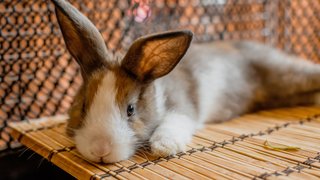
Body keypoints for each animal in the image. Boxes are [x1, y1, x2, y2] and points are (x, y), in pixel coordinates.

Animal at [51, 0, 320, 163]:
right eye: (83, 106)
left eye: (130, 109)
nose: (100, 151)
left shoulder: (182, 106)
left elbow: (174, 122)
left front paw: (164, 146)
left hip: (286, 74)